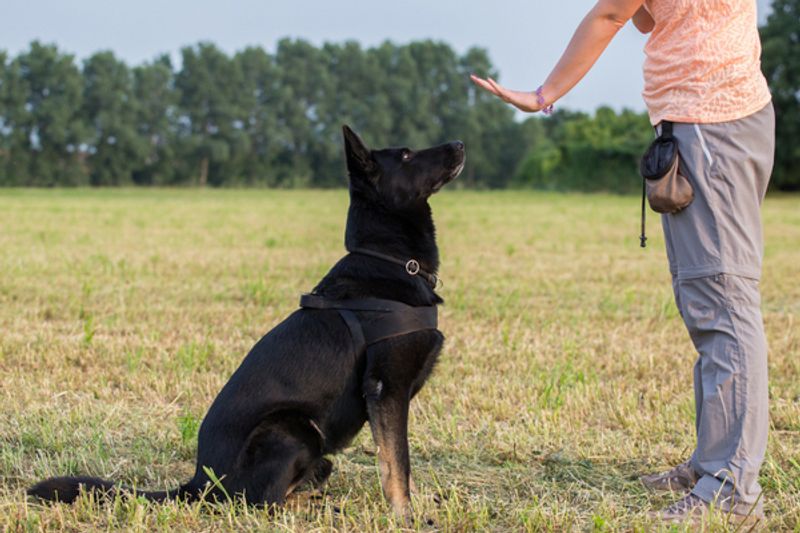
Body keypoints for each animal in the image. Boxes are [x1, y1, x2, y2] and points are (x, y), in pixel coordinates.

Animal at [29, 124, 462, 516]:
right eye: (406, 155)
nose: (458, 144)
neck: (390, 260)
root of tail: (198, 483)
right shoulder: (386, 389)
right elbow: (397, 462)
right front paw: (406, 515)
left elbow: (397, 461)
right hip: (293, 428)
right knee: (262, 502)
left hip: (317, 452)